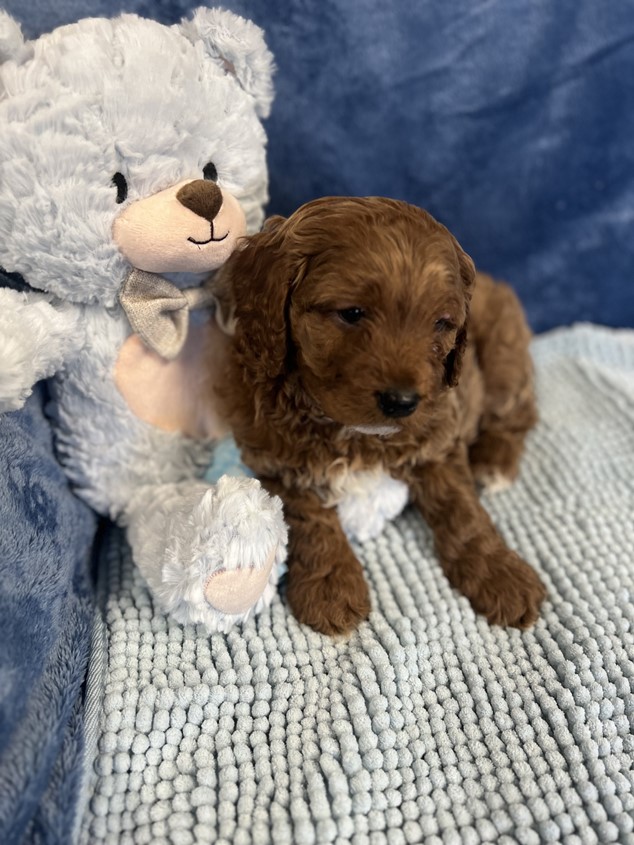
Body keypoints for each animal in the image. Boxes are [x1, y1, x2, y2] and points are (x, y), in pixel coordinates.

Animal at [212, 196, 544, 632]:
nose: (402, 402)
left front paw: (500, 573)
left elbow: (463, 512)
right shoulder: (275, 459)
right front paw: (331, 586)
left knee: (518, 414)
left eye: (441, 324)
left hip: (505, 358)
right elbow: (310, 520)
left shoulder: (438, 440)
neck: (352, 434)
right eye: (352, 313)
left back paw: (494, 463)